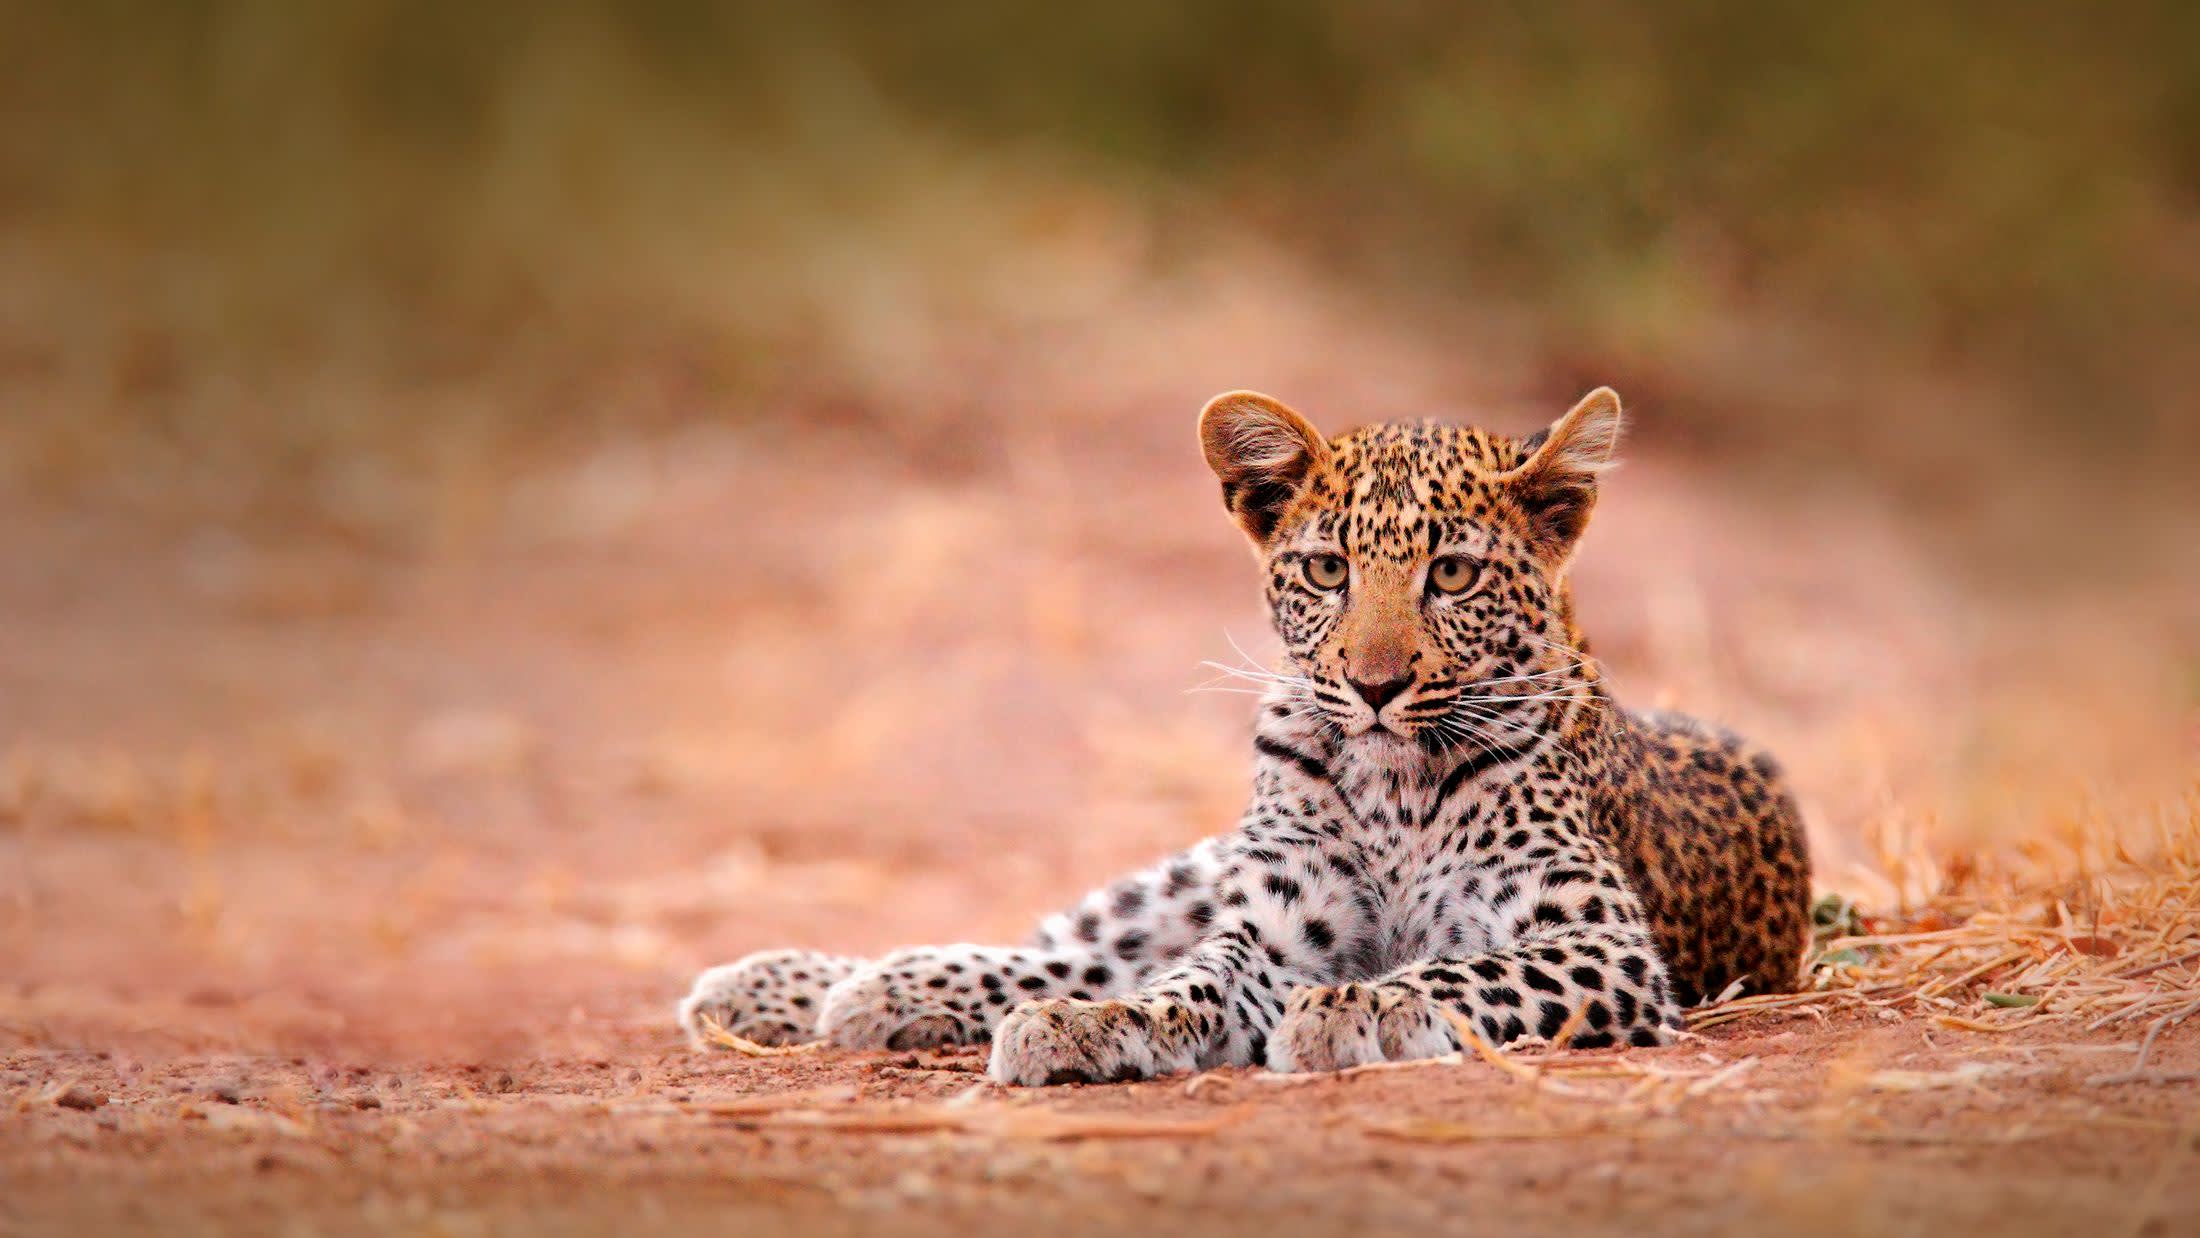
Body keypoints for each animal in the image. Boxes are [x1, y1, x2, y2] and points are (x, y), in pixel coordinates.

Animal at [679, 387, 1812, 1084]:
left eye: (1451, 574)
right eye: (1326, 569)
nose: (1373, 684)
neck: (1394, 785)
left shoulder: (1600, 942)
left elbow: (1460, 971)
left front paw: (1354, 1010)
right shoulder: (1272, 926)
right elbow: (1187, 981)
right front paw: (1100, 1029)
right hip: (1189, 875)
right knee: (1074, 948)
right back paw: (809, 983)